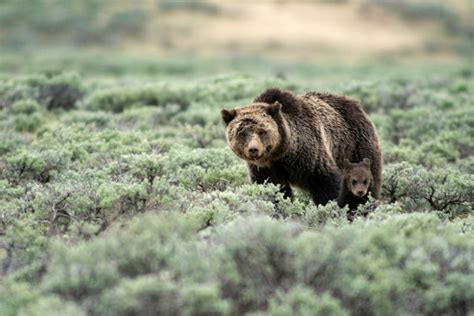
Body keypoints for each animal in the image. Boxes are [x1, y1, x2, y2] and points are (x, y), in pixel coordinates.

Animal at [221, 87, 382, 205]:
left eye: (262, 130)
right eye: (242, 132)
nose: (253, 149)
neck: (281, 153)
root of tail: (355, 103)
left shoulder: (309, 155)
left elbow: (326, 183)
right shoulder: (265, 169)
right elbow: (273, 188)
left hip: (355, 145)